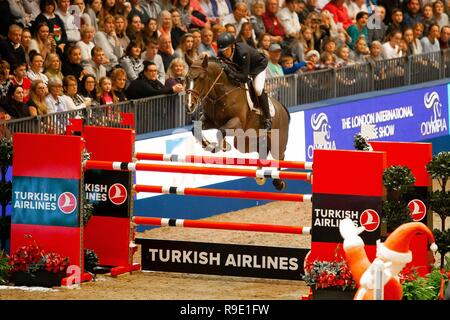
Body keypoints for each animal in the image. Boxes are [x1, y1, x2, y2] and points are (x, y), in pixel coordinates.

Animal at [185, 54, 290, 190]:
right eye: (186, 78)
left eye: (201, 78)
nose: (189, 106)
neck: (221, 93)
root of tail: (283, 108)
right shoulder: (210, 121)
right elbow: (195, 129)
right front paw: (209, 146)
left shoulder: (237, 123)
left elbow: (221, 131)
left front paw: (222, 146)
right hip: (247, 142)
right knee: (262, 152)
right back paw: (260, 175)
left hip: (277, 140)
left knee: (280, 156)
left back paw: (278, 182)